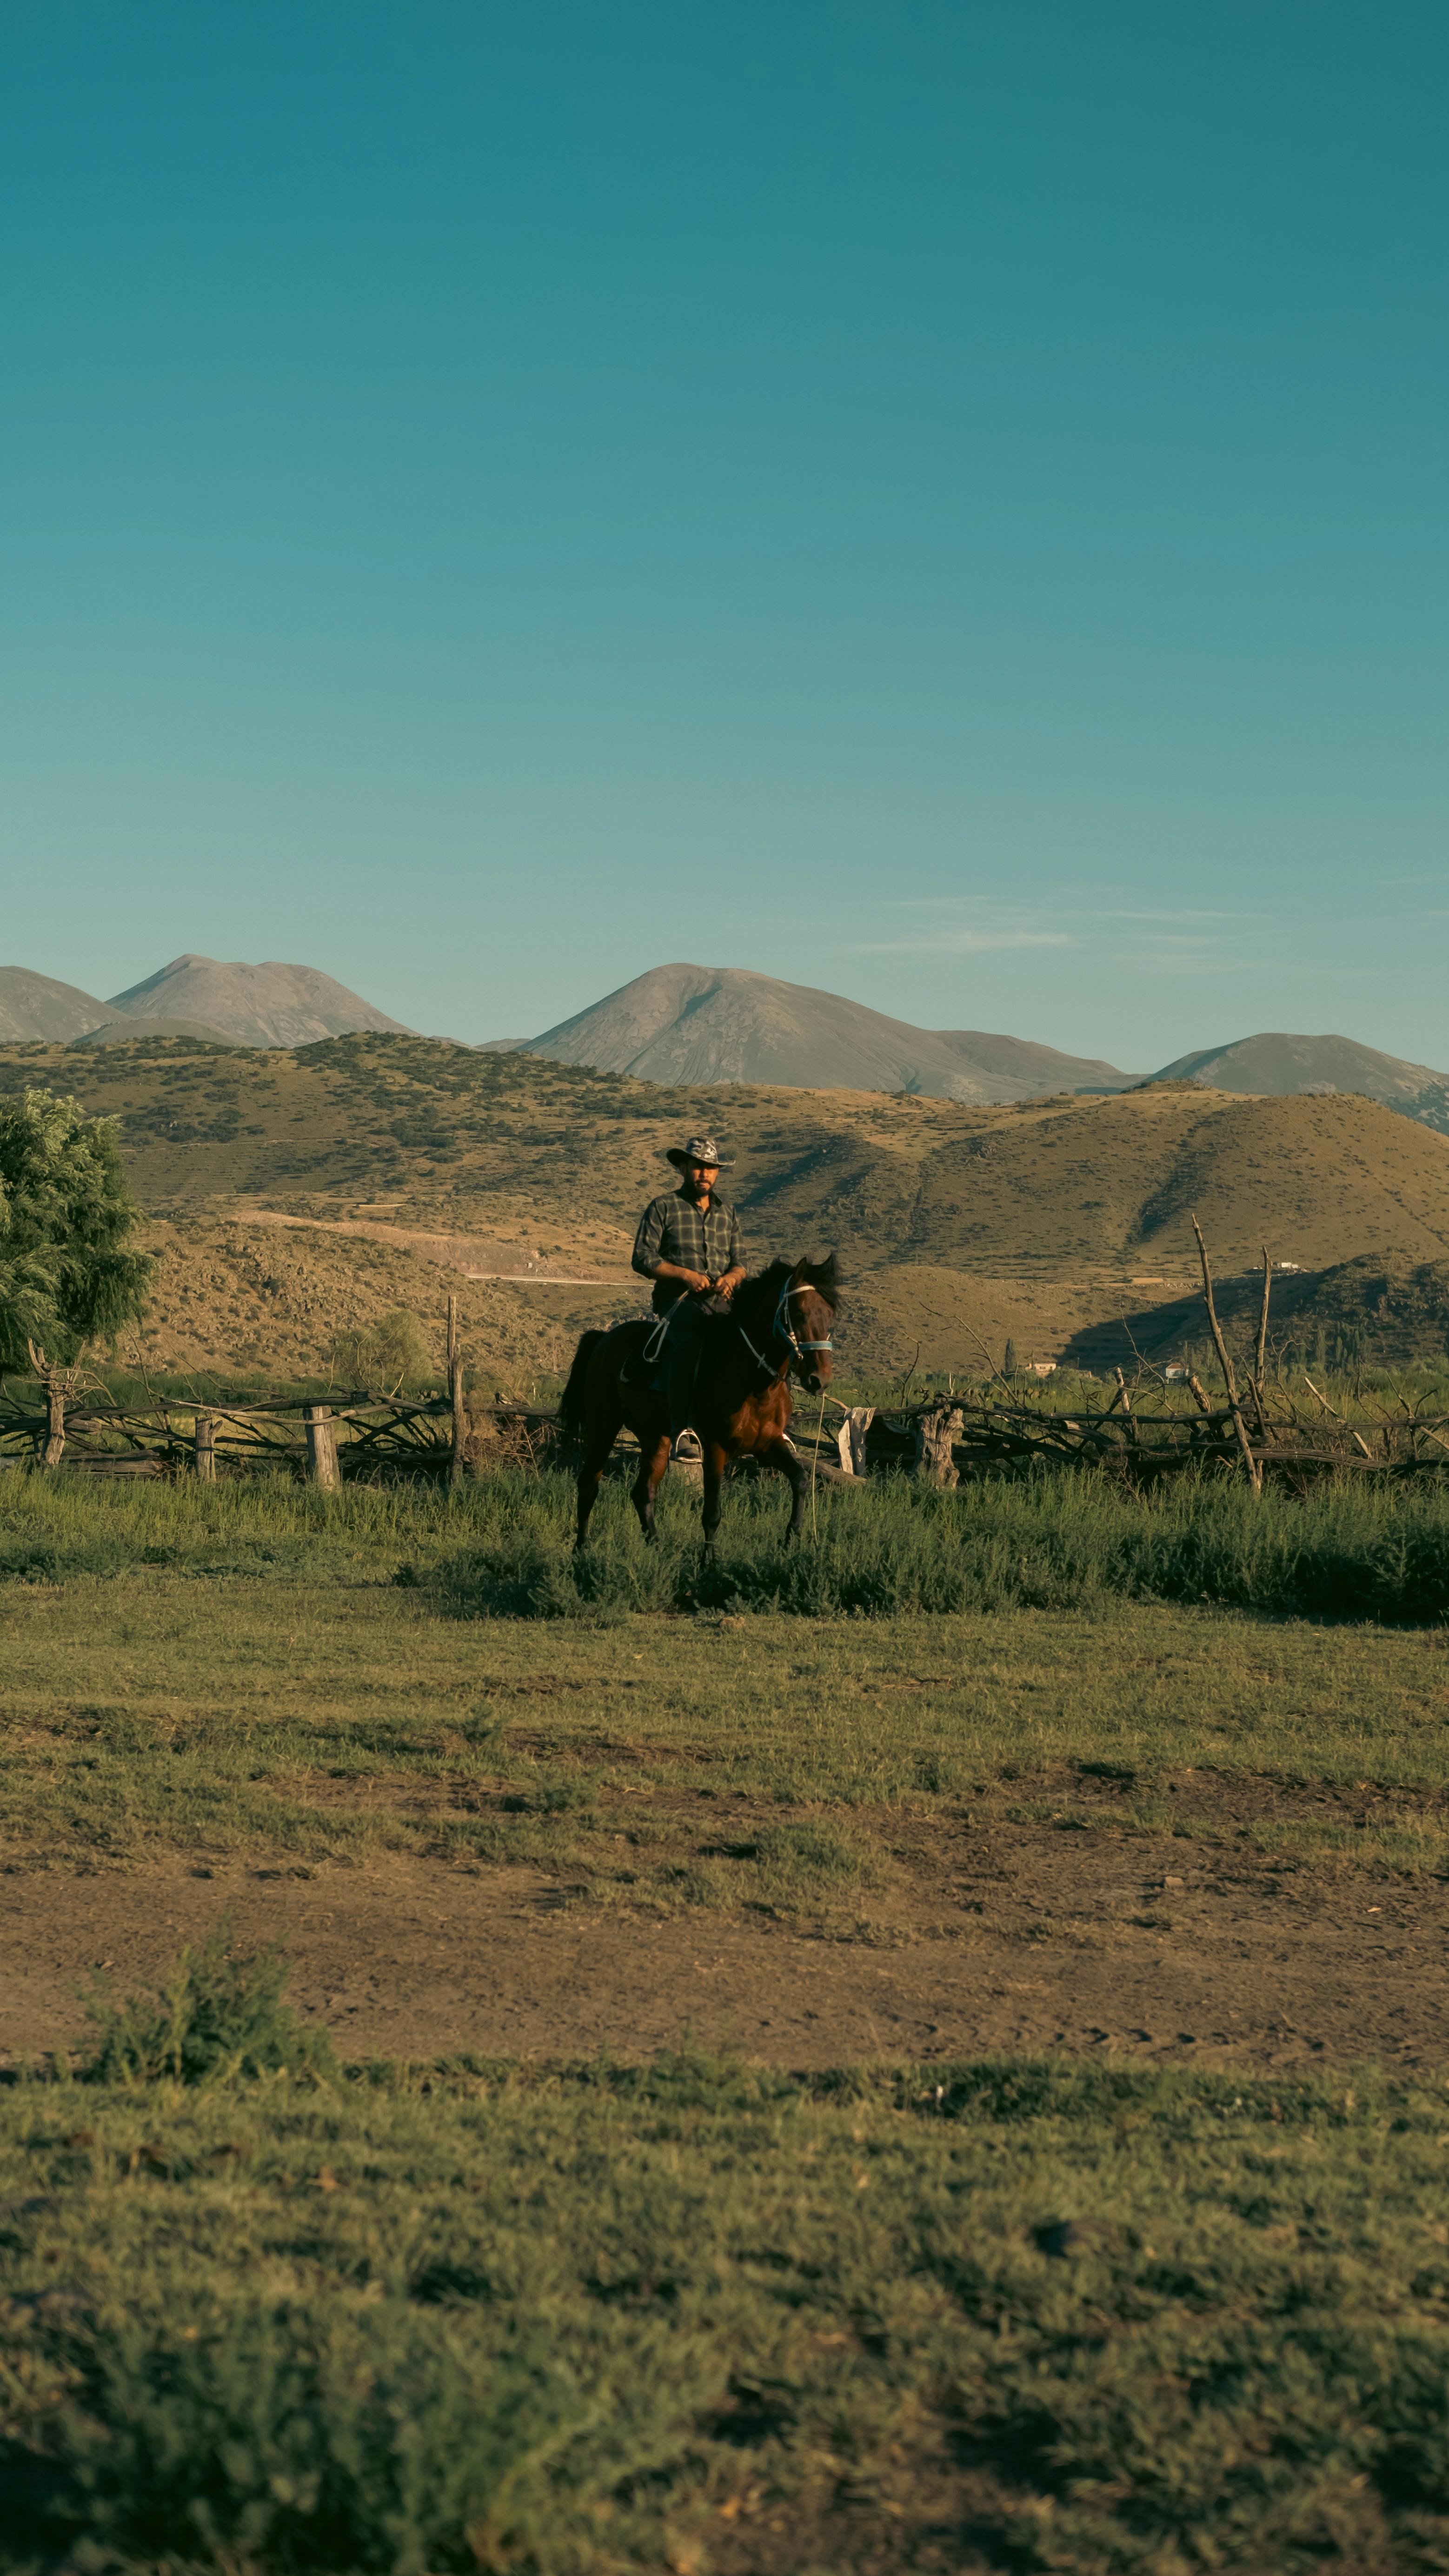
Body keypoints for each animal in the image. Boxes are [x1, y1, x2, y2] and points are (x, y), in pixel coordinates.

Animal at [561, 1246, 844, 1545]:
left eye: (830, 1316)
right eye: (799, 1313)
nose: (820, 1380)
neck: (755, 1385)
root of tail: (604, 1339)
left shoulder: (768, 1445)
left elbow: (801, 1480)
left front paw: (791, 1537)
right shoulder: (715, 1448)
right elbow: (712, 1514)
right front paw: (709, 1558)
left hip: (655, 1438)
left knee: (643, 1493)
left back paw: (656, 1547)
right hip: (603, 1427)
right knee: (589, 1485)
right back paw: (582, 1548)